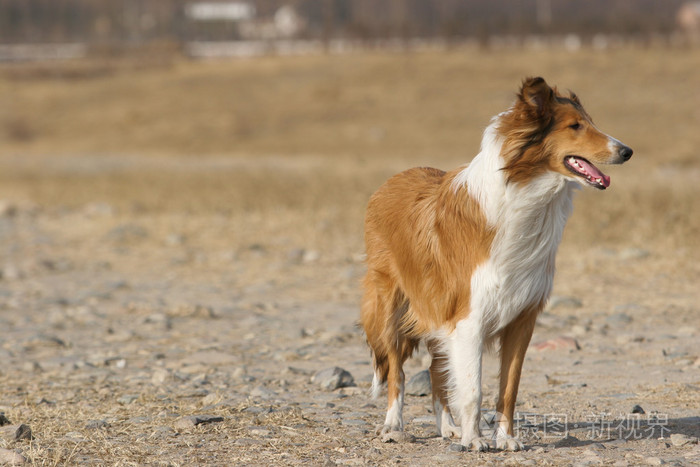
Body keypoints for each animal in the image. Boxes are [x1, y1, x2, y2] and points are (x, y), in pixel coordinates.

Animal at [360, 77, 636, 454]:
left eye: (589, 122)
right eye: (575, 126)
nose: (627, 151)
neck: (524, 194)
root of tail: (391, 181)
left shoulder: (521, 318)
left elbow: (509, 388)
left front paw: (504, 439)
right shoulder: (469, 318)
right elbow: (473, 388)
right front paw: (474, 439)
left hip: (436, 310)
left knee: (436, 371)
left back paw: (447, 427)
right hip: (391, 307)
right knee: (396, 372)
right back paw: (393, 425)